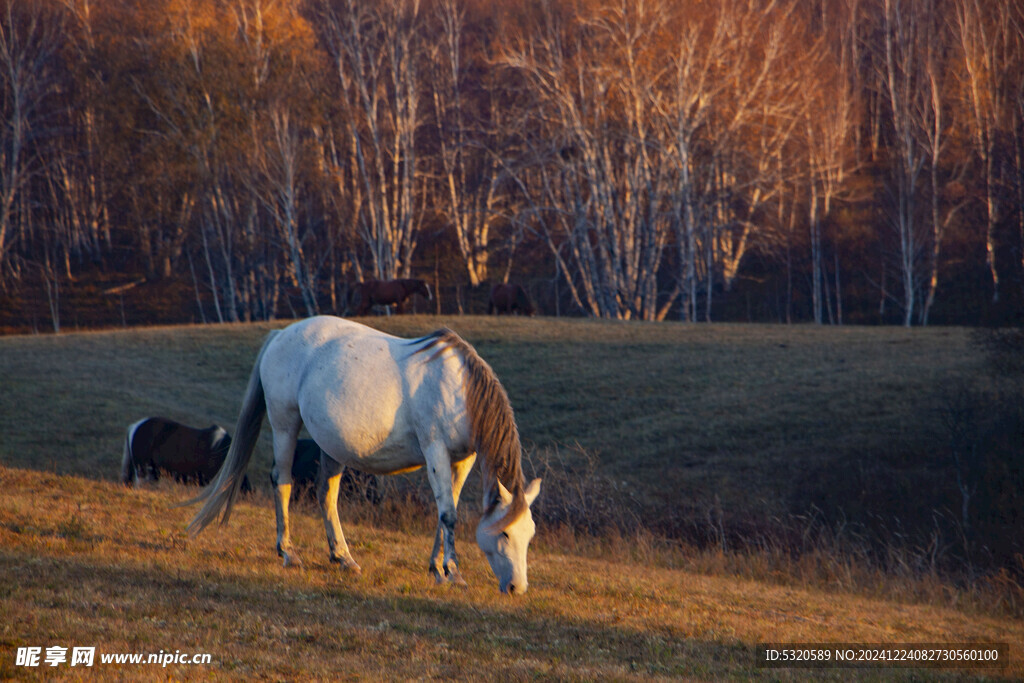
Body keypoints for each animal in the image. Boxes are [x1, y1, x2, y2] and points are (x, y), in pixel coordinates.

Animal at [185, 317, 540, 593]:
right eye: (504, 532)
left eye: (530, 535)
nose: (517, 588)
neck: (458, 388)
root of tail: (281, 334)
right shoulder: (435, 451)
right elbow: (449, 515)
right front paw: (452, 573)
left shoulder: (463, 460)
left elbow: (445, 513)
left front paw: (436, 568)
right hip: (285, 425)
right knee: (282, 482)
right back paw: (288, 553)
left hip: (332, 446)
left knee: (326, 495)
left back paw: (343, 558)